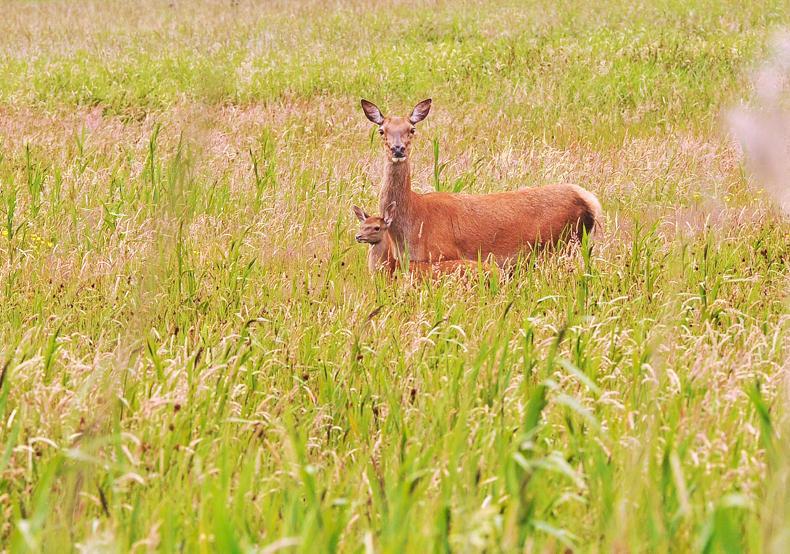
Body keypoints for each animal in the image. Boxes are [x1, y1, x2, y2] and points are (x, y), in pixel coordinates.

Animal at [361, 98, 603, 265]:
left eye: (412, 129)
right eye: (381, 130)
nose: (398, 149)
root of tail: (590, 200)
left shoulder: (442, 255)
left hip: (561, 244)